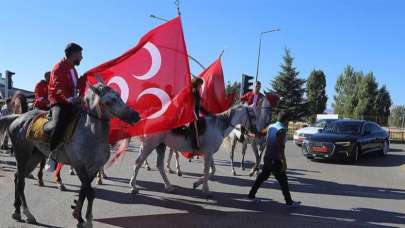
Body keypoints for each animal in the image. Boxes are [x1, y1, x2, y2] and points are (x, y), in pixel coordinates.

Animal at [0, 79, 140, 228]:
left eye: (119, 97)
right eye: (109, 101)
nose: (135, 115)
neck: (91, 133)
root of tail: (19, 117)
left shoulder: (93, 168)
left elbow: (84, 192)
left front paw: (79, 217)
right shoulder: (79, 166)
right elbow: (90, 193)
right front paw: (88, 221)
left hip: (35, 156)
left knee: (18, 177)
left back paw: (18, 211)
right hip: (22, 155)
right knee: (21, 181)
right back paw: (27, 213)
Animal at [128, 104, 258, 197]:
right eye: (253, 116)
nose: (256, 131)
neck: (218, 126)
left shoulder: (208, 153)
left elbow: (212, 170)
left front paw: (197, 183)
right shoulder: (208, 153)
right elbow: (207, 170)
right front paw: (206, 190)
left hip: (160, 146)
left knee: (159, 165)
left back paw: (169, 187)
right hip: (149, 145)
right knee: (137, 163)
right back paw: (133, 187)